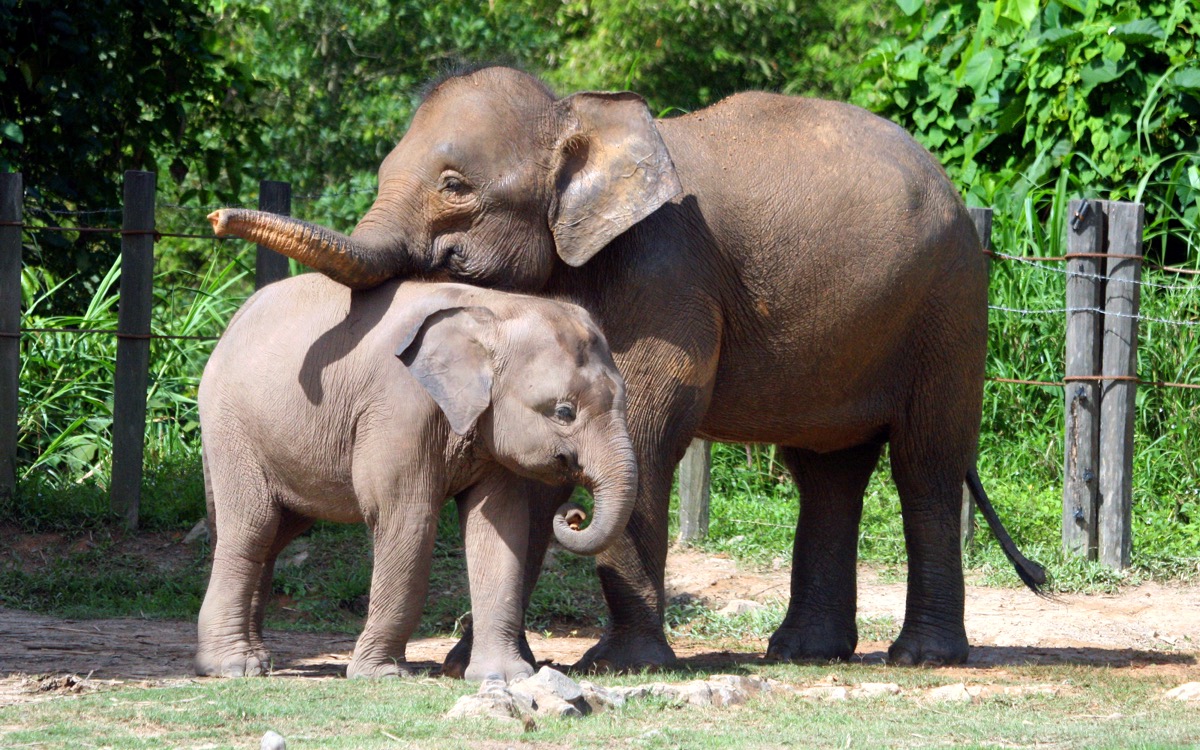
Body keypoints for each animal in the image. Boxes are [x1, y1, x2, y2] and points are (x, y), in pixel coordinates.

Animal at [195, 273, 636, 681]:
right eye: (563, 412)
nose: (574, 515)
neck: (494, 309)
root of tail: (234, 320)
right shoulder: (398, 408)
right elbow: (408, 519)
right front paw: (381, 675)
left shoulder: (489, 431)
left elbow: (500, 527)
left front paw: (505, 677)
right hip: (232, 427)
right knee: (253, 526)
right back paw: (233, 667)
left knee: (276, 533)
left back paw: (256, 660)